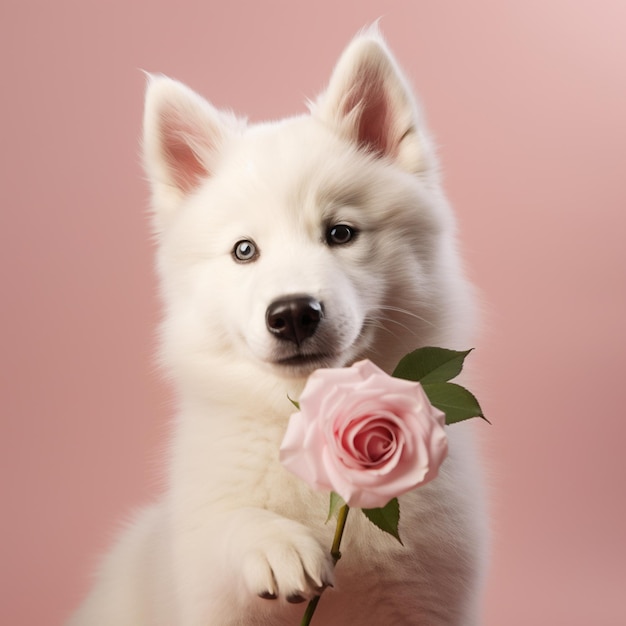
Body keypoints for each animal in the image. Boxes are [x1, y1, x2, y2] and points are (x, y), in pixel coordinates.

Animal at [68, 28, 488, 624]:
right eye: (244, 250)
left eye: (340, 233)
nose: (292, 314)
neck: (312, 420)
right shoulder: (207, 581)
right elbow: (230, 521)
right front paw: (275, 544)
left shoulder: (426, 593)